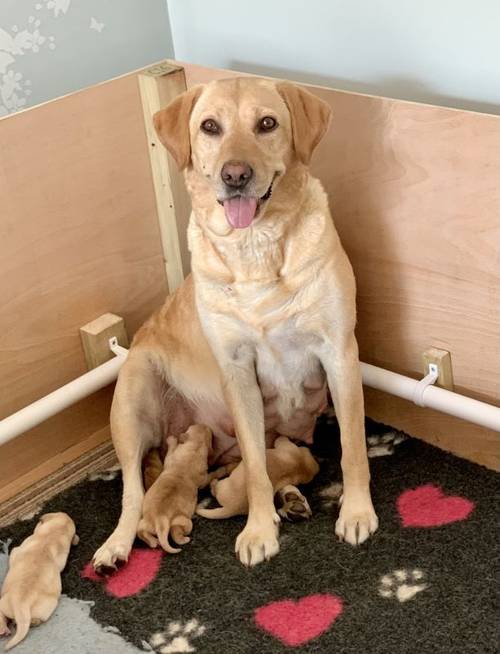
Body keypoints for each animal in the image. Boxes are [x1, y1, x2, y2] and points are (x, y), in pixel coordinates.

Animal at [0, 516, 78, 652]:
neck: (53, 534)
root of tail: (22, 604)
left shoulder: (17, 549)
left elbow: (14, 551)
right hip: (46, 608)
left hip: (3, 602)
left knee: (2, 615)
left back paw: (4, 629)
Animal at [92, 75, 376, 568]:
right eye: (210, 126)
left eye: (267, 124)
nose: (235, 175)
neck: (257, 248)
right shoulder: (238, 369)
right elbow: (257, 470)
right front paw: (259, 529)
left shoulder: (340, 352)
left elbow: (354, 447)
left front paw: (357, 512)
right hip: (132, 394)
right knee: (132, 489)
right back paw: (117, 544)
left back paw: (291, 498)